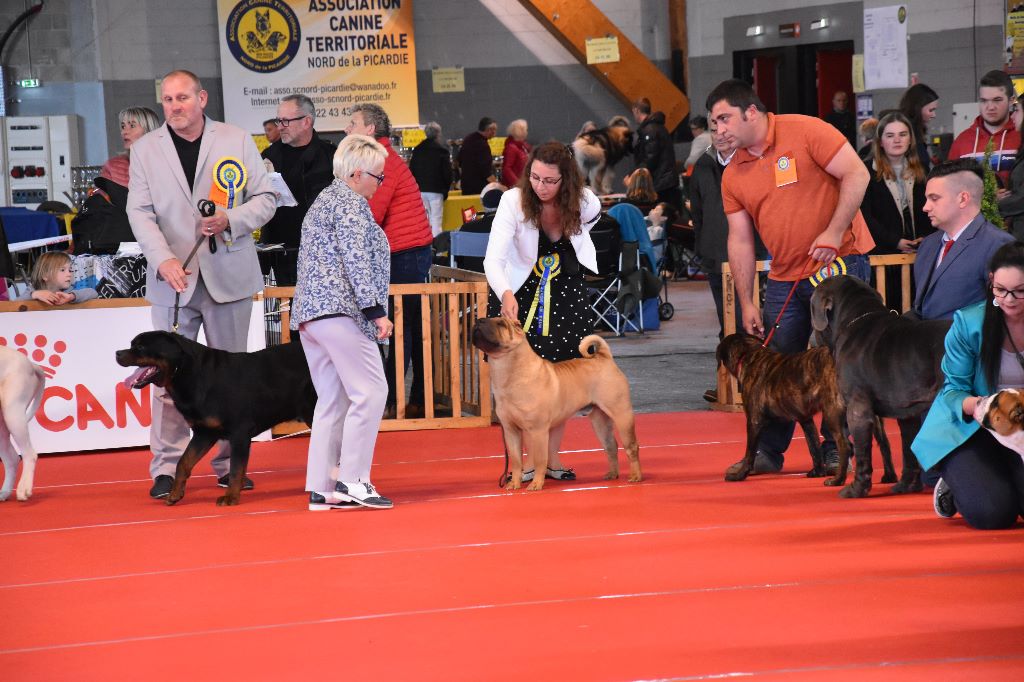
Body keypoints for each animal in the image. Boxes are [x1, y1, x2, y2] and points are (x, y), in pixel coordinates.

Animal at [0, 346, 46, 499]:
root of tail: (31, 364)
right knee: (12, 459)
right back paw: (5, 492)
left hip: (13, 411)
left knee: (29, 454)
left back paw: (23, 489)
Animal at [117, 329, 315, 503]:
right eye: (132, 344)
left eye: (141, 346)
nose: (117, 353)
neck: (188, 375)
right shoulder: (204, 433)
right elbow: (183, 462)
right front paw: (175, 493)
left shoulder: (239, 432)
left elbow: (235, 468)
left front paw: (231, 497)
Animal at [471, 315, 638, 491]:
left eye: (501, 324)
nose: (479, 320)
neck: (509, 371)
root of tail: (604, 358)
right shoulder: (511, 431)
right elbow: (516, 461)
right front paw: (514, 484)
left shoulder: (538, 430)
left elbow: (539, 460)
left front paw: (536, 484)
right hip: (600, 420)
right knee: (611, 446)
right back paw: (612, 474)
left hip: (622, 414)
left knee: (631, 446)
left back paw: (636, 476)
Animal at [806, 274, 950, 493]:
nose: (811, 337)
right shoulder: (908, 409)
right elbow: (908, 448)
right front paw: (906, 485)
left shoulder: (857, 408)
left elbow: (861, 451)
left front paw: (856, 489)